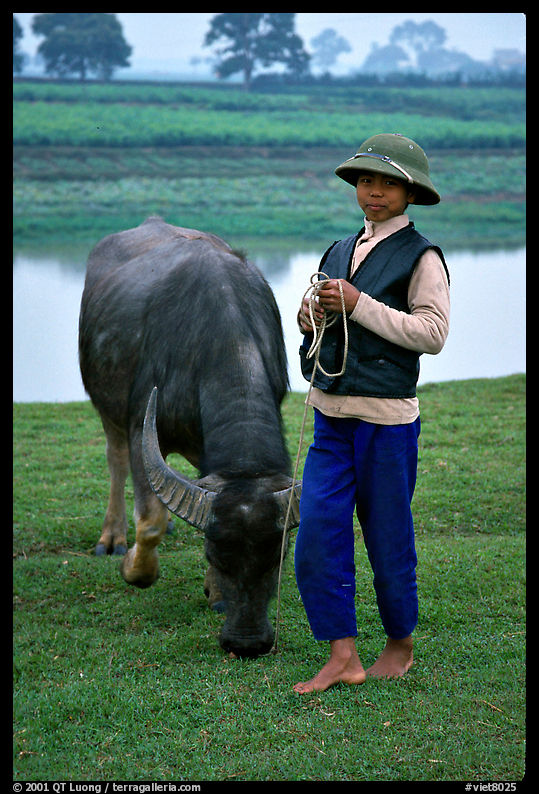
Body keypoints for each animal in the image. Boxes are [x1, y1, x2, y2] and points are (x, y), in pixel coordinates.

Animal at [78, 217, 300, 658]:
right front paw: (133, 566)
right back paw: (113, 538)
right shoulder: (139, 425)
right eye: (216, 552)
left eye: (279, 556)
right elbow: (149, 520)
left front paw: (216, 594)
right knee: (116, 461)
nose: (247, 642)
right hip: (106, 407)